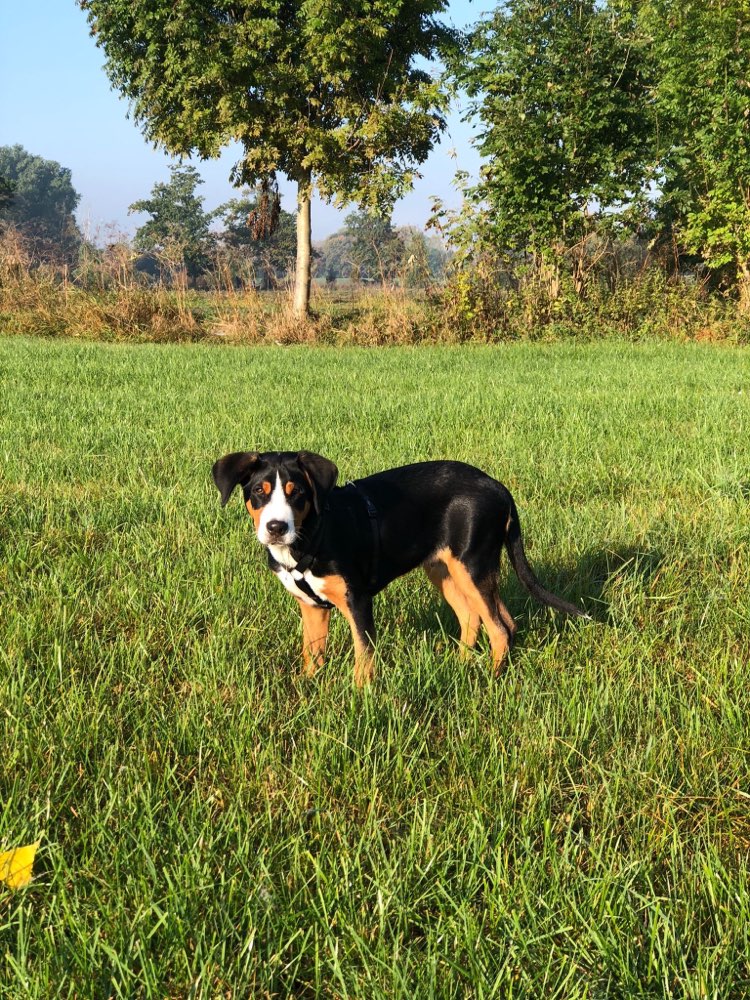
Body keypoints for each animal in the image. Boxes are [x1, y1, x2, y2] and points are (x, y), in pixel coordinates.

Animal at [212, 454, 588, 688]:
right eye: (258, 492)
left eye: (298, 493)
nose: (276, 527)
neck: (313, 534)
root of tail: (497, 486)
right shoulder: (312, 607)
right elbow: (312, 654)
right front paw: (308, 690)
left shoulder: (358, 600)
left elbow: (363, 655)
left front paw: (359, 698)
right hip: (445, 571)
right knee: (476, 618)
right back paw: (461, 667)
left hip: (472, 565)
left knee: (501, 628)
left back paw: (491, 680)